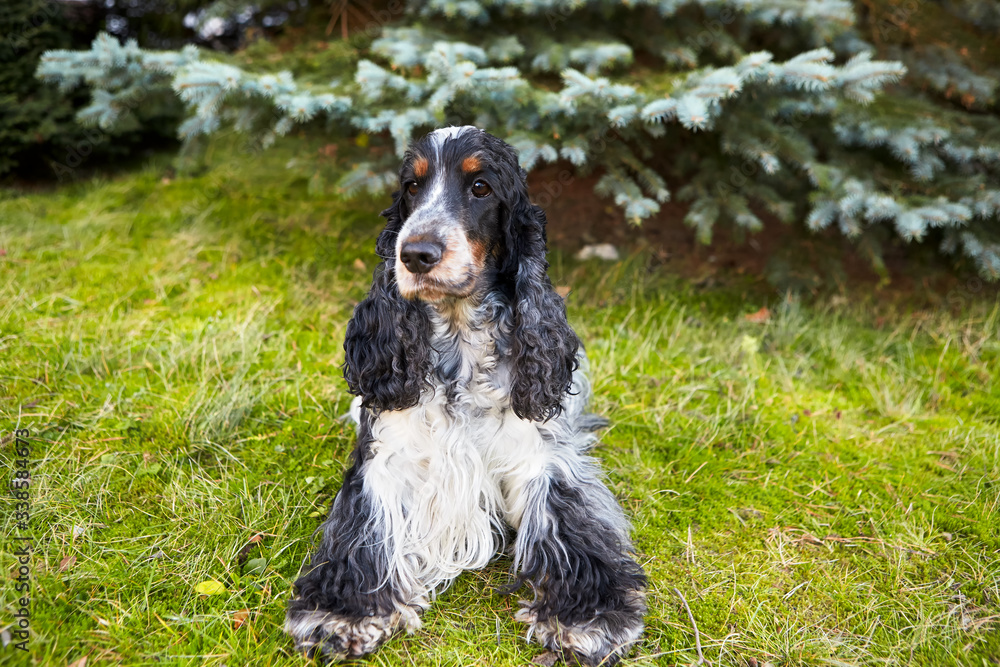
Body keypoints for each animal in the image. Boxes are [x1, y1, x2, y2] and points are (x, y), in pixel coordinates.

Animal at [288, 128, 648, 664]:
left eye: (480, 187)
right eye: (412, 188)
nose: (416, 253)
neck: (459, 342)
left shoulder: (542, 459)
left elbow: (568, 527)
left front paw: (587, 616)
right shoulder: (387, 460)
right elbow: (365, 533)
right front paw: (343, 612)